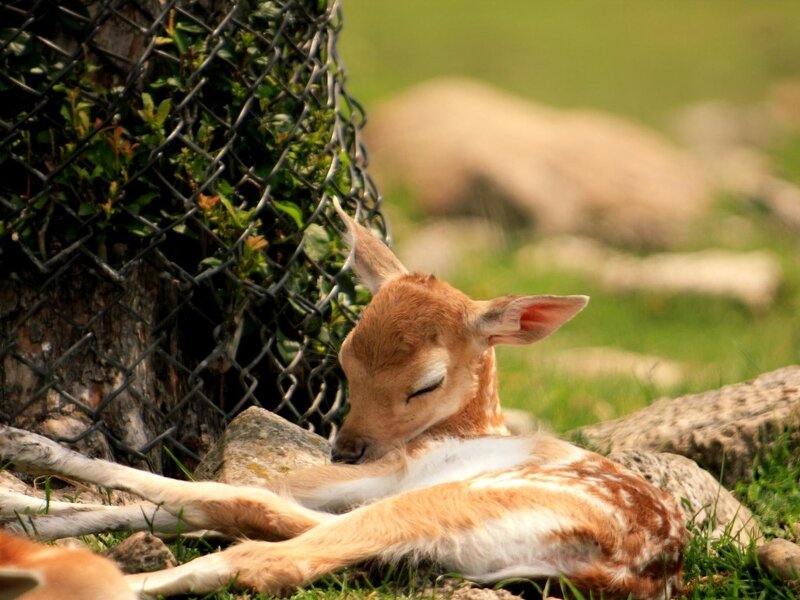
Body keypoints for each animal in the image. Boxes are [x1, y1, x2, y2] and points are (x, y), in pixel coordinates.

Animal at [0, 207, 686, 599]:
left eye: (426, 382)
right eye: (347, 355)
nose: (348, 446)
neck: (470, 427)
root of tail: (623, 568)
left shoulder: (398, 468)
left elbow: (214, 490)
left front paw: (23, 453)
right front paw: (31, 510)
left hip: (455, 497)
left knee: (260, 538)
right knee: (270, 527)